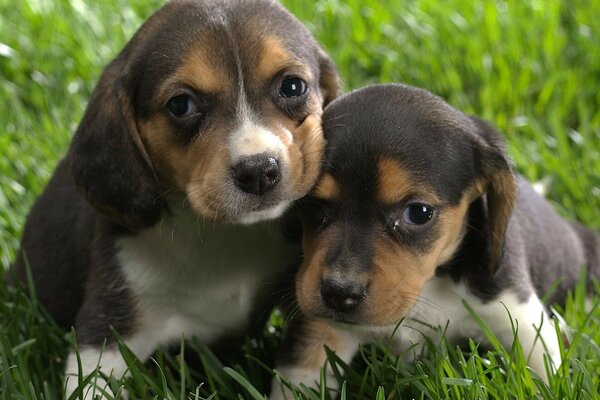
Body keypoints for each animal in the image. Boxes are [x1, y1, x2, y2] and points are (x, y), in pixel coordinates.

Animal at [274, 83, 600, 396]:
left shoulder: (522, 318)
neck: (430, 284)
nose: (339, 293)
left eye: (419, 213)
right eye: (312, 204)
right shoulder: (319, 332)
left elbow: (543, 375)